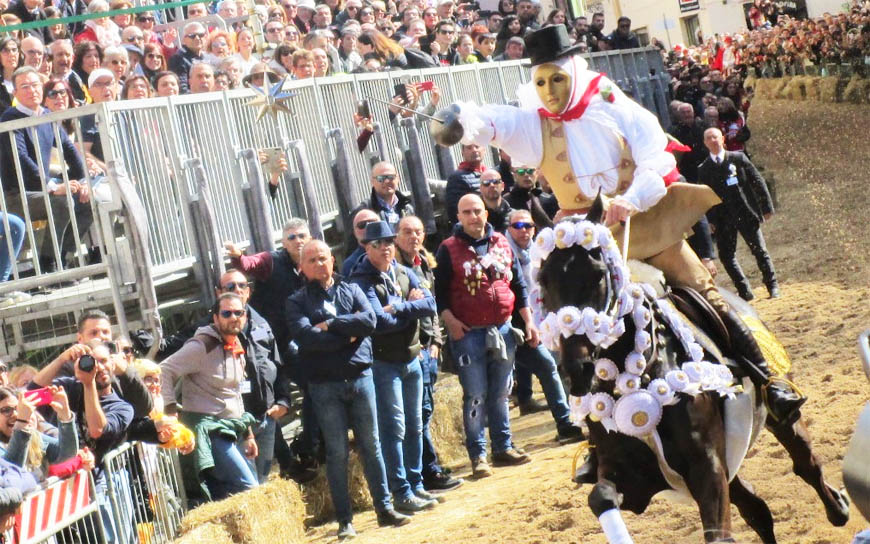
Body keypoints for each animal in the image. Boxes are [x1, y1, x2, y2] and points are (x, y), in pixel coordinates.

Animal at [540, 205, 852, 544]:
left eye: (597, 274)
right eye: (542, 283)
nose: (576, 369)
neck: (635, 380)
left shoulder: (707, 465)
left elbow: (718, 533)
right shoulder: (628, 474)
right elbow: (601, 496)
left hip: (779, 419)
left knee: (806, 465)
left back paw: (839, 505)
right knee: (756, 508)